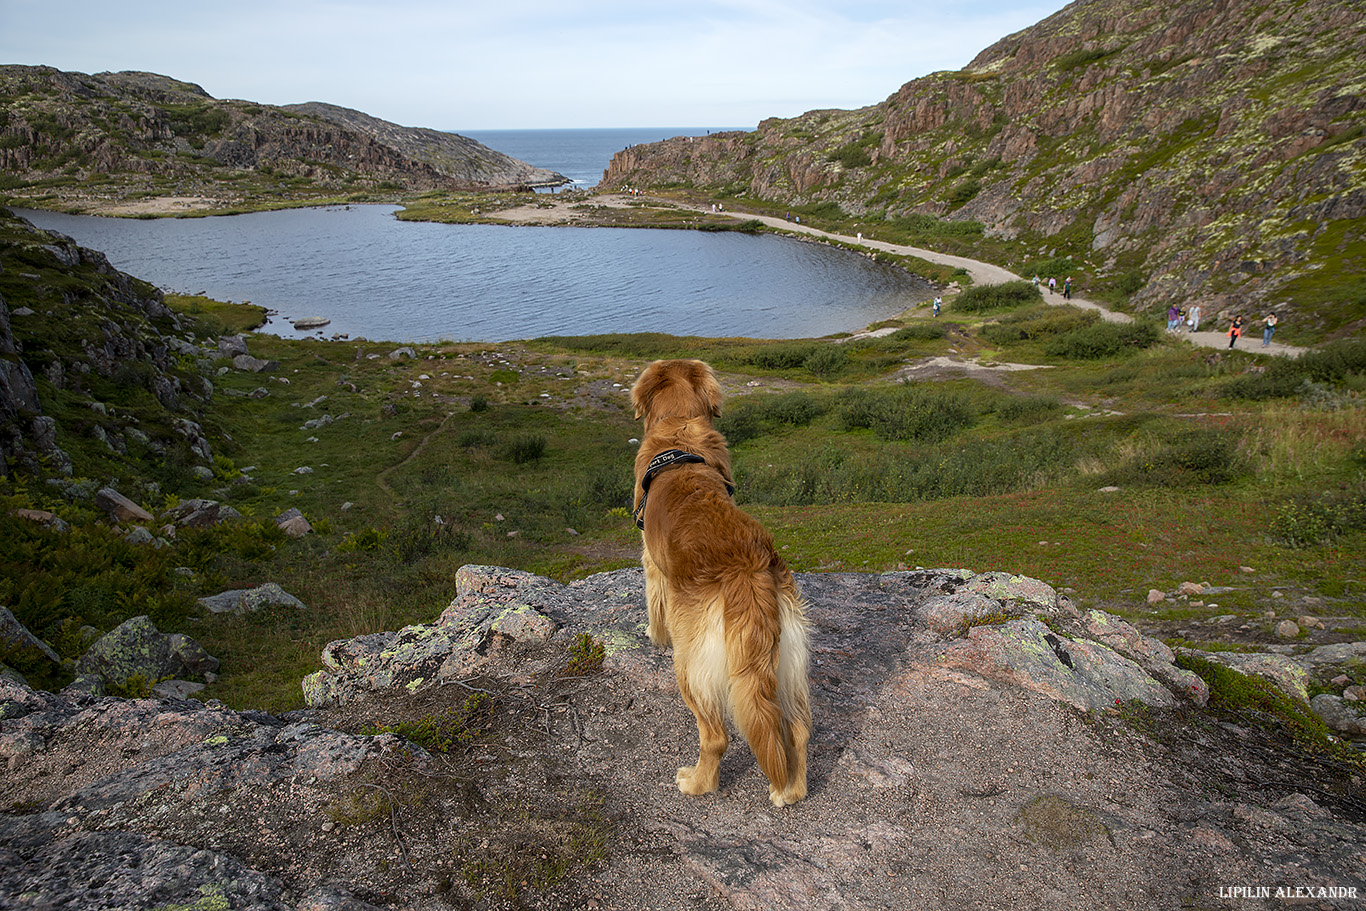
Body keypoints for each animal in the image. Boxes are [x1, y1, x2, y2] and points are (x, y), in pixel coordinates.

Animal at [631, 360, 808, 808]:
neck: (679, 426)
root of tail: (747, 567)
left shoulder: (651, 563)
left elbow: (653, 605)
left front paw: (652, 634)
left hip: (691, 664)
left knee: (716, 737)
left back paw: (696, 782)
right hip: (789, 664)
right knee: (797, 731)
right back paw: (790, 790)